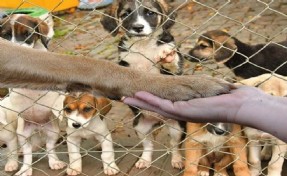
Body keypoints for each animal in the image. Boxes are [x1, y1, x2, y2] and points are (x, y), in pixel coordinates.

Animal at [101, 0, 187, 170]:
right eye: (126, 14)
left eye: (150, 13)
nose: (138, 27)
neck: (143, 45)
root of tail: (159, 120)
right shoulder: (125, 62)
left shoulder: (174, 72)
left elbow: (172, 61)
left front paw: (166, 55)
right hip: (140, 126)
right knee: (148, 145)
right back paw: (144, 160)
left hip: (177, 127)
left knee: (174, 145)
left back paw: (177, 160)